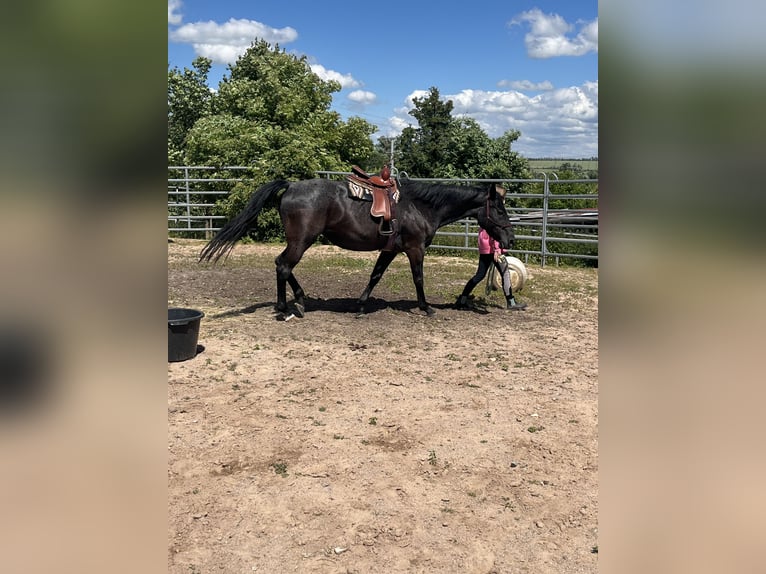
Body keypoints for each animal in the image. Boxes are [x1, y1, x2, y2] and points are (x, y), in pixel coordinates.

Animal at [201, 179, 520, 320]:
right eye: (500, 209)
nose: (510, 239)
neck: (420, 206)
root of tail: (290, 186)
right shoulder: (415, 249)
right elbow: (418, 279)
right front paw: (426, 307)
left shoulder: (390, 250)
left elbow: (375, 276)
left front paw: (361, 305)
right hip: (301, 241)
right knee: (283, 265)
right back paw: (284, 308)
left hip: (299, 241)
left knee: (283, 265)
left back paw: (300, 301)